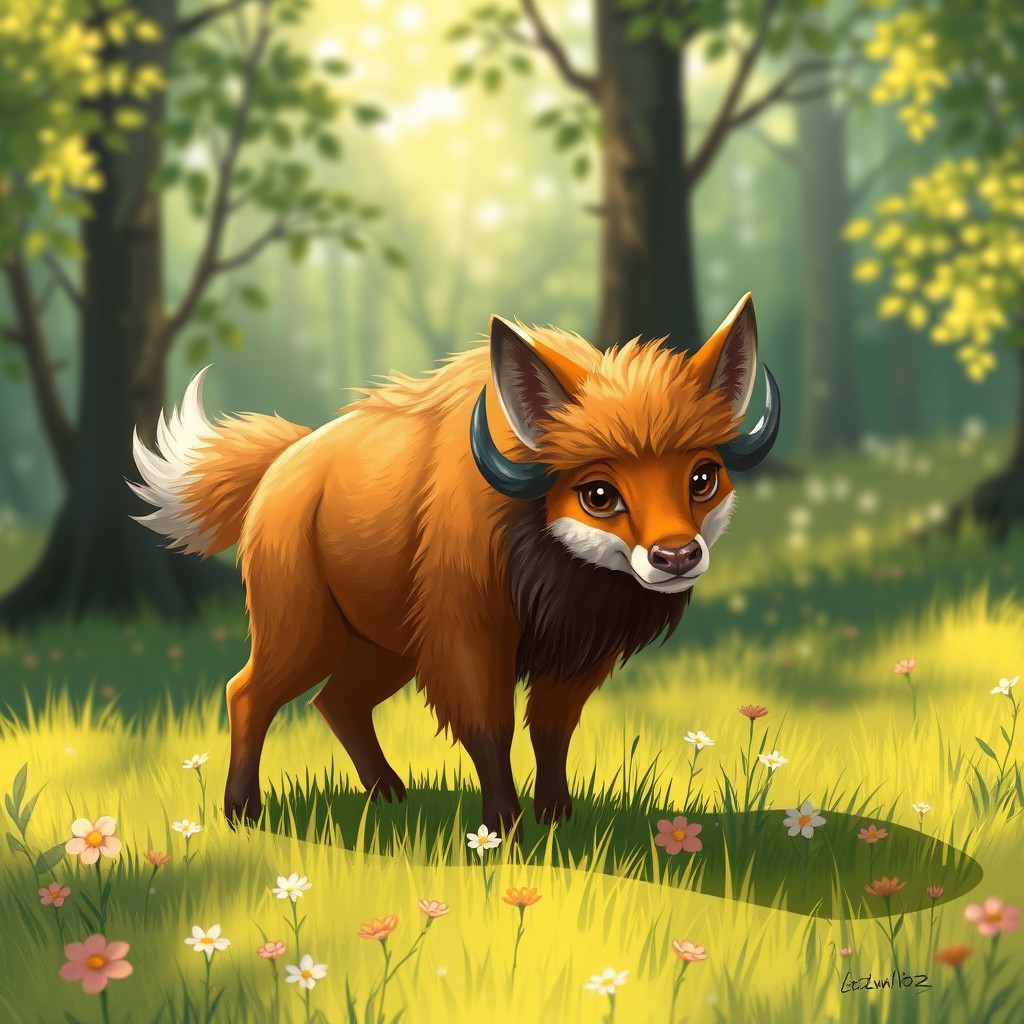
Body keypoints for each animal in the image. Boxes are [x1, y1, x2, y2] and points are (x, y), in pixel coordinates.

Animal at [129, 292, 779, 834]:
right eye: (599, 492)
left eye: (703, 476)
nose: (676, 556)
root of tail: (279, 465)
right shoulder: (468, 634)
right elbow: (490, 725)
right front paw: (504, 827)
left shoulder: (576, 652)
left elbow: (551, 728)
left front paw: (557, 816)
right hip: (305, 632)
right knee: (247, 692)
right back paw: (243, 811)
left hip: (382, 647)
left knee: (336, 702)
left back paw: (389, 794)